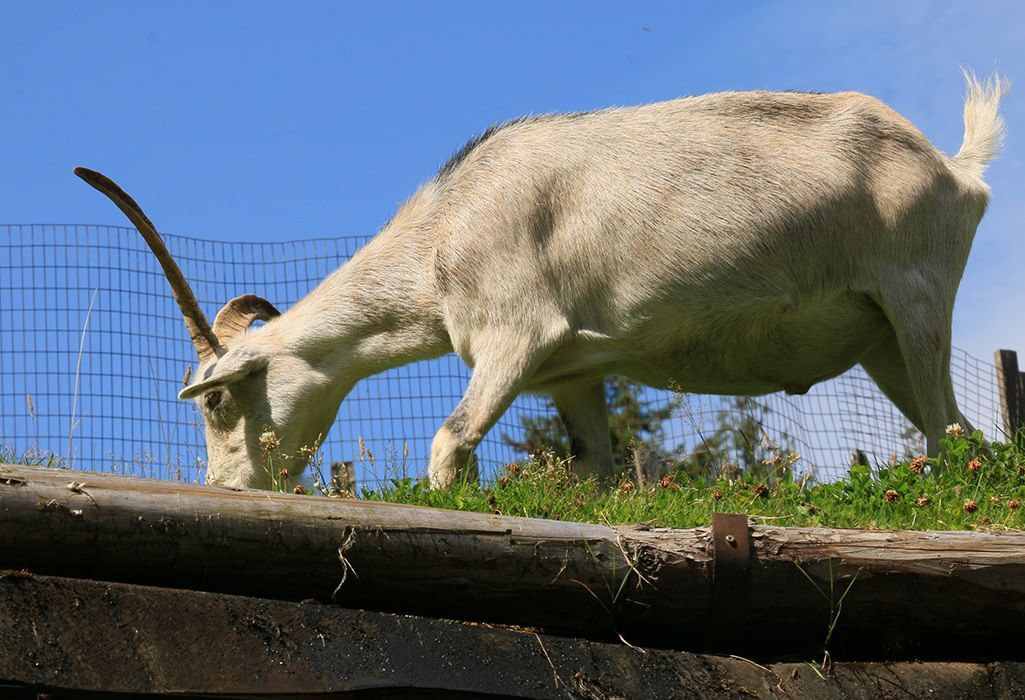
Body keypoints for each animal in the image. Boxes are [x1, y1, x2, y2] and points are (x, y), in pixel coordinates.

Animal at [75, 69, 1004, 487]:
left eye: (220, 401)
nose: (229, 486)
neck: (443, 231)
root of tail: (955, 169)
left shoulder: (514, 339)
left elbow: (451, 440)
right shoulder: (570, 374)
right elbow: (597, 467)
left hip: (916, 300)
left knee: (953, 433)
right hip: (878, 335)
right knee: (958, 429)